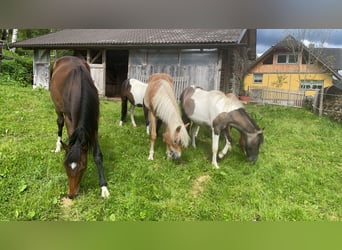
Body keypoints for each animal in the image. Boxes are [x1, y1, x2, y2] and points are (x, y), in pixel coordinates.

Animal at [49, 55, 109, 198]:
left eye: (83, 167)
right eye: (65, 166)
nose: (71, 194)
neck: (79, 87)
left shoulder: (94, 122)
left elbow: (97, 154)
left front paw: (104, 187)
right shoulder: (69, 118)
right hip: (58, 107)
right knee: (60, 122)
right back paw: (58, 146)